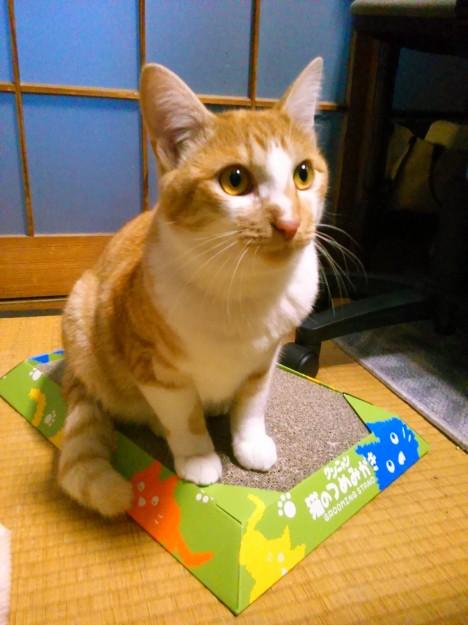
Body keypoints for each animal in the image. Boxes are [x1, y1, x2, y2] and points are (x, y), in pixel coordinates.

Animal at [59, 57, 328, 517]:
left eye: (304, 174)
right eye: (235, 180)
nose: (290, 223)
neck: (245, 289)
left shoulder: (266, 359)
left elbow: (252, 404)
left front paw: (249, 443)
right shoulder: (151, 366)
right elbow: (182, 414)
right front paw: (198, 456)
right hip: (80, 316)